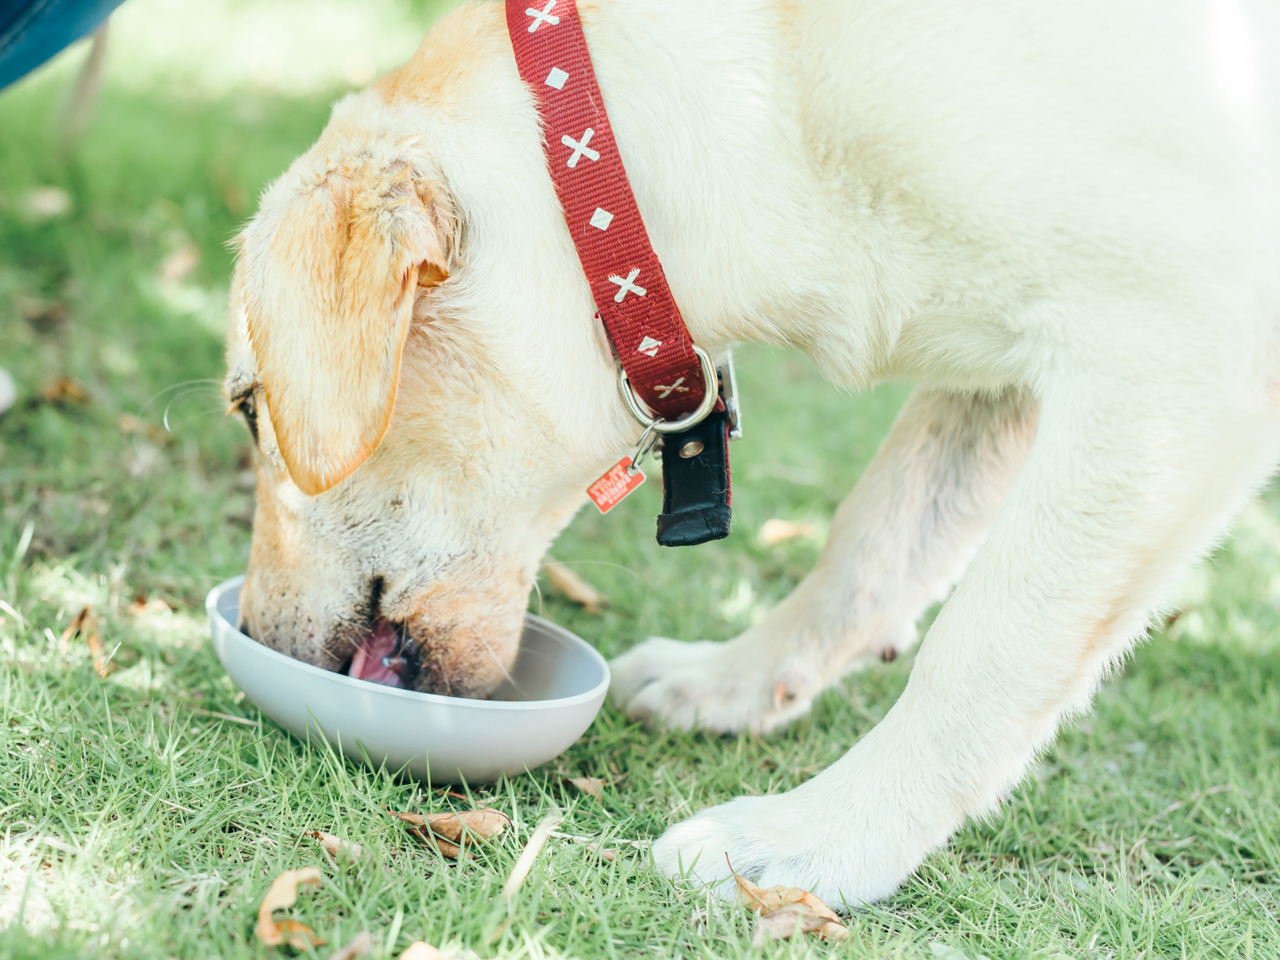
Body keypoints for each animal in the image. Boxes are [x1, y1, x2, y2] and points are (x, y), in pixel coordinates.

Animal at [222, 0, 1280, 911]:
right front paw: (736, 683)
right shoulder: (1006, 374)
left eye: (249, 409)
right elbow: (873, 542)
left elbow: (985, 649)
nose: (257, 637)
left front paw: (823, 837)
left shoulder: (1168, 360)